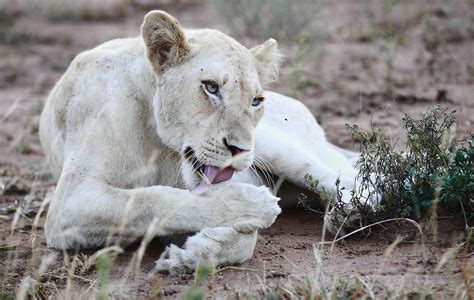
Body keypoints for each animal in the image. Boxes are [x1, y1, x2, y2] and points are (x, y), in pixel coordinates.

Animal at [39, 11, 378, 274]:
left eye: (255, 101)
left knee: (349, 177)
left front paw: (194, 253)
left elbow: (244, 238)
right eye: (211, 87)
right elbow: (150, 200)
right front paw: (248, 205)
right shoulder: (70, 202)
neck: (159, 144)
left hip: (276, 147)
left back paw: (353, 214)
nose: (239, 149)